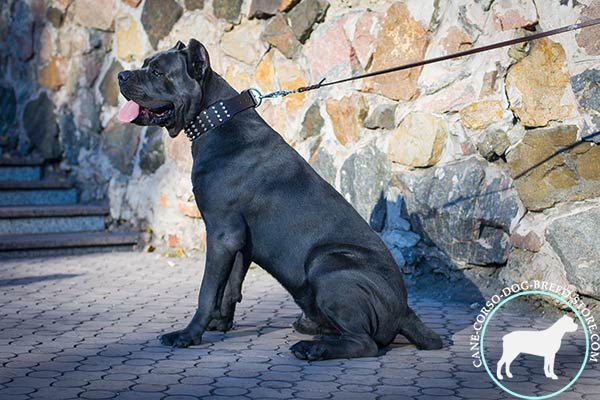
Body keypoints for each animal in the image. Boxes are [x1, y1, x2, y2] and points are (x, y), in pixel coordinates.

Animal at [118, 39, 446, 360]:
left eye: (158, 72)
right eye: (146, 64)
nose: (121, 75)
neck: (217, 120)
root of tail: (404, 312)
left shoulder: (222, 232)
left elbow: (208, 290)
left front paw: (188, 335)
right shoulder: (239, 240)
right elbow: (230, 286)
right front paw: (220, 323)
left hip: (326, 264)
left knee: (364, 343)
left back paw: (312, 348)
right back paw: (313, 329)